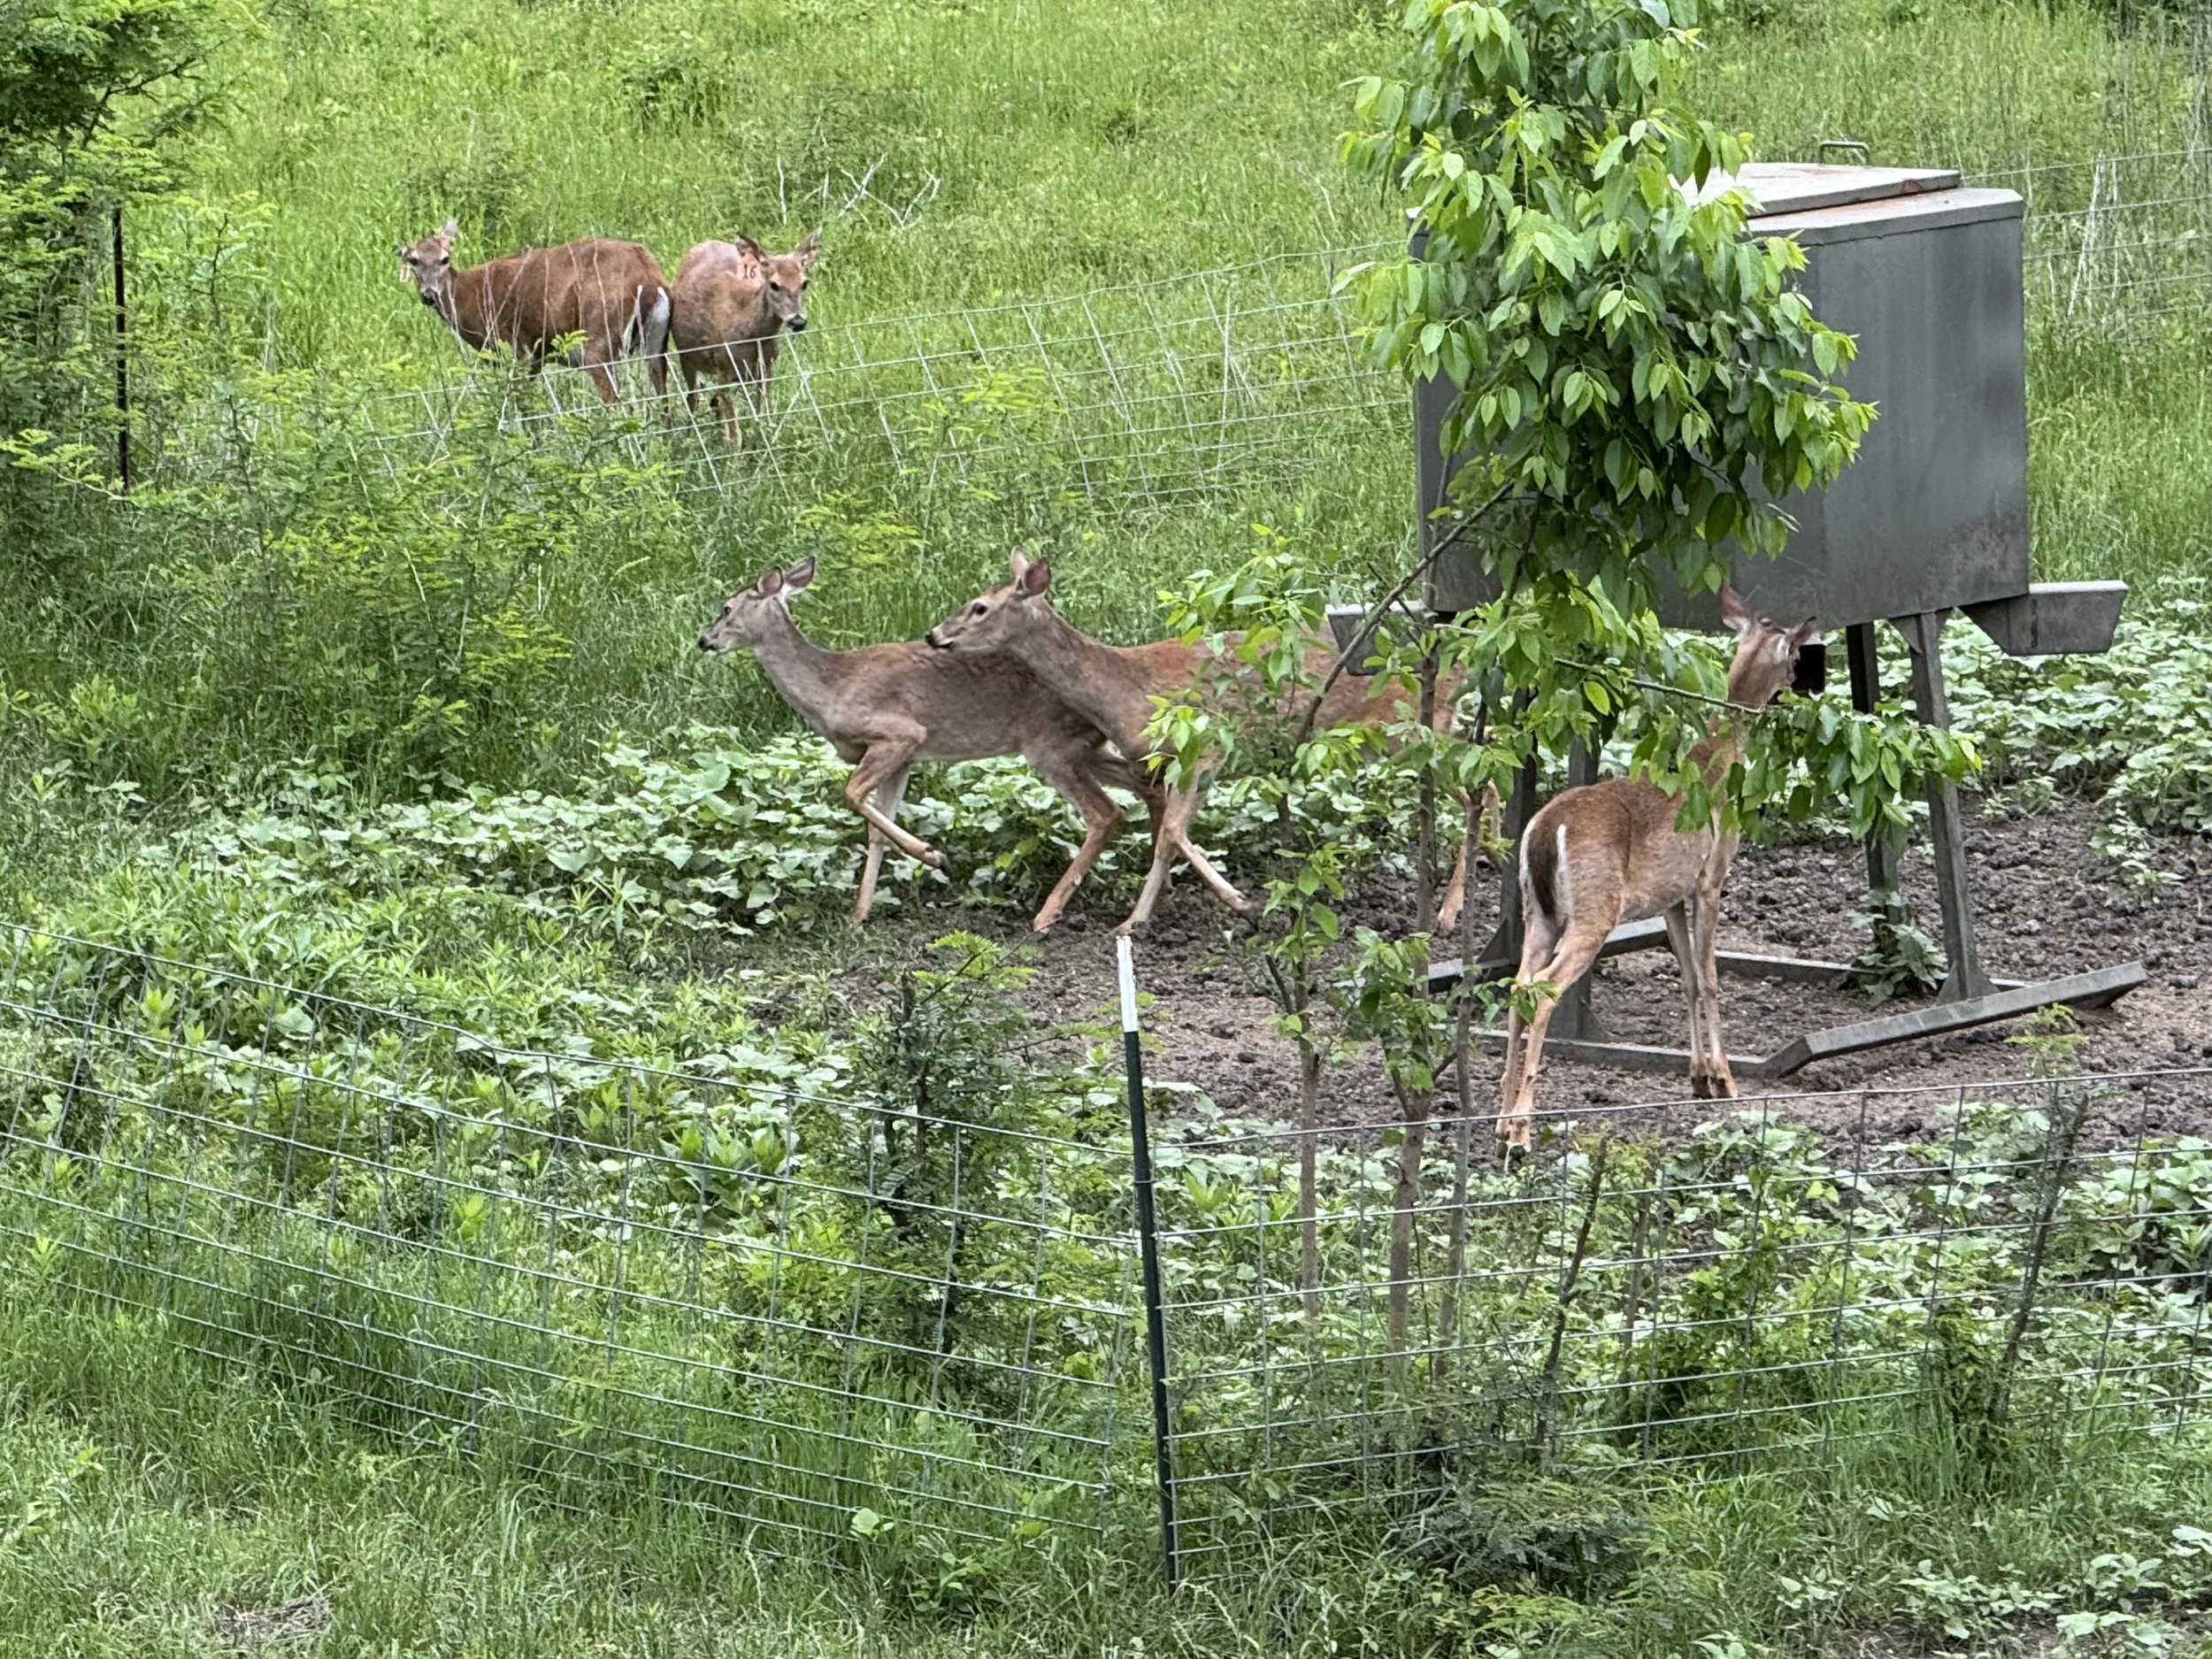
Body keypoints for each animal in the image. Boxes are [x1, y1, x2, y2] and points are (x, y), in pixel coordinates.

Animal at [397, 219, 671, 403]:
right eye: (413, 260)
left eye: (444, 258)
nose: (429, 295)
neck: (471, 295)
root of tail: (649, 276)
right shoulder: (535, 357)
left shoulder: (514, 349)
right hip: (655, 341)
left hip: (600, 336)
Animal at [670, 231, 821, 446]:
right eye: (774, 284)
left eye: (804, 283)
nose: (798, 321)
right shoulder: (722, 365)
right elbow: (735, 436)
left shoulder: (767, 367)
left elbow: (764, 420)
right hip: (687, 356)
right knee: (694, 398)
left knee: (714, 402)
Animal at [698, 557, 1159, 930]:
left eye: (726, 608)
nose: (705, 640)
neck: (830, 688)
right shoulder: (903, 757)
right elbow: (876, 827)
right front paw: (858, 916)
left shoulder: (899, 734)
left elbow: (852, 794)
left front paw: (932, 855)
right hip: (1084, 747)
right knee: (1147, 785)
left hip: (1050, 745)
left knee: (1106, 812)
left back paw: (1049, 914)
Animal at [925, 552, 1477, 934]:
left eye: (979, 607)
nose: (933, 635)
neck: (1125, 687)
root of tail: (1458, 659)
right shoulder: (1164, 763)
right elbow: (1166, 837)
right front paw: (1135, 920)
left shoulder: (1205, 745)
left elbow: (1170, 832)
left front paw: (1238, 903)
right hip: (1431, 732)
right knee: (1484, 781)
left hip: (1407, 735)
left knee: (1477, 792)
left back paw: (1450, 913)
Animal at [1493, 589, 1818, 1151]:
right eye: (1796, 653)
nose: (1803, 682)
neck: (1716, 758)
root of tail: (1547, 828)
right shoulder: (1710, 876)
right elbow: (1709, 977)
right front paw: (1725, 1079)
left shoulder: (1669, 896)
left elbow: (1685, 977)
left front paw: (1699, 1077)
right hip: (1594, 907)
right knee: (1545, 989)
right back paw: (1521, 1128)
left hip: (1541, 910)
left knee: (1519, 986)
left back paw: (1497, 1119)